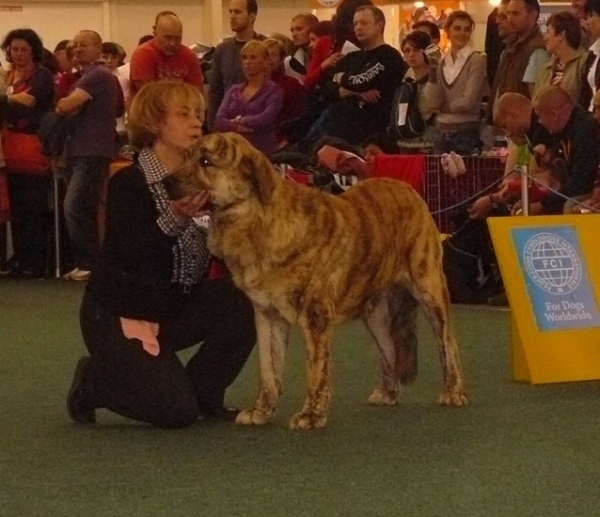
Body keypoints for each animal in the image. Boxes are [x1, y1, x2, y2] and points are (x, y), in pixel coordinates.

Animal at [168, 132, 468, 428]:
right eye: (186, 156)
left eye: (206, 161)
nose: (165, 183)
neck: (257, 220)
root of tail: (409, 190)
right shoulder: (267, 315)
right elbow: (268, 369)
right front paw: (261, 411)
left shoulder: (316, 316)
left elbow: (316, 369)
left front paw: (311, 415)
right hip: (376, 313)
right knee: (389, 349)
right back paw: (388, 392)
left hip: (429, 289)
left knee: (448, 344)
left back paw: (453, 391)